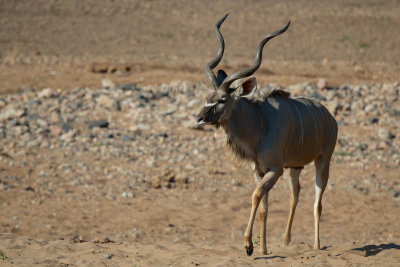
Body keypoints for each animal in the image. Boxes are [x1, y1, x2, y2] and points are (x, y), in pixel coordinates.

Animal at [196, 13, 338, 256]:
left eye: (223, 99)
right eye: (208, 97)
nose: (199, 118)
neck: (260, 123)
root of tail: (329, 117)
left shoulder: (274, 170)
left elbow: (255, 196)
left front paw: (248, 245)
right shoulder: (260, 171)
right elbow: (264, 206)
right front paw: (262, 249)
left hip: (323, 161)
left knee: (317, 202)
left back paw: (317, 245)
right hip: (295, 168)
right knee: (295, 195)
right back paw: (286, 240)